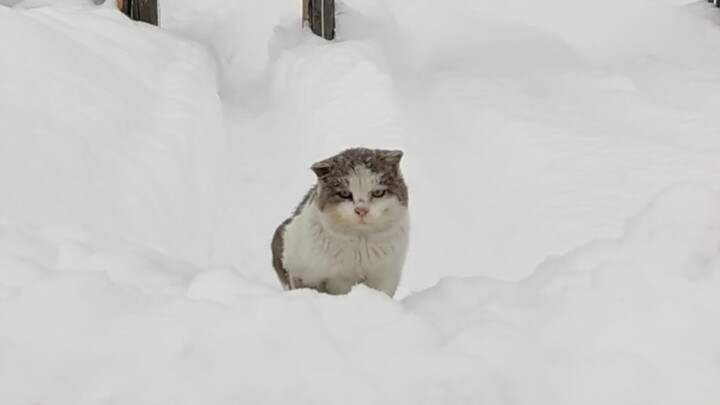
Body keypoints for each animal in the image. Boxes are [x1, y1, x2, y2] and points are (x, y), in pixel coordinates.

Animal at [272, 147, 410, 296]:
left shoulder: (386, 275)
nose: (361, 210)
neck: (361, 244)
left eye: (378, 192)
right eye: (344, 193)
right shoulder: (303, 273)